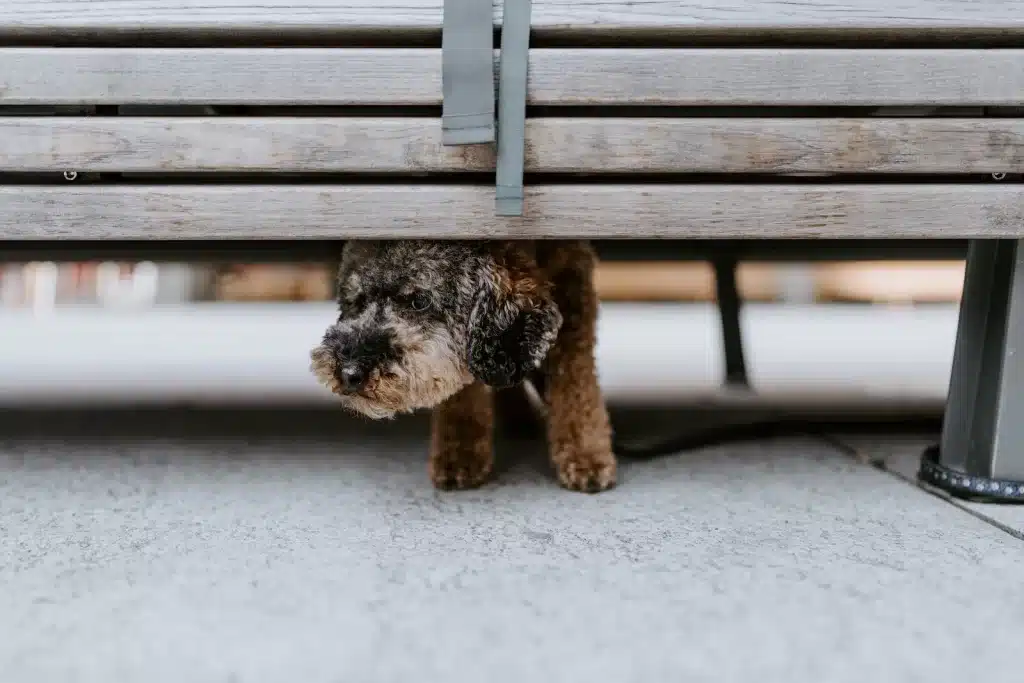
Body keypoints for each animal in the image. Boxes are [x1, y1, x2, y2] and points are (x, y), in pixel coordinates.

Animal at [309, 239, 614, 491]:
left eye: (419, 300)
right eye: (357, 301)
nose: (348, 373)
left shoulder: (574, 305)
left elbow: (575, 386)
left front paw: (587, 456)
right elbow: (463, 390)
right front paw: (459, 456)